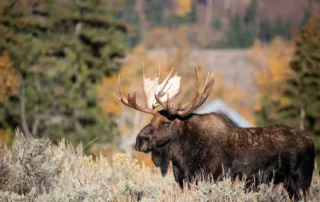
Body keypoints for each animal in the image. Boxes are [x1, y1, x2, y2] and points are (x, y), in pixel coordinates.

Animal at [114, 67, 316, 200]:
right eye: (150, 120)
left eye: (166, 122)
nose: (140, 140)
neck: (182, 158)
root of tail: (311, 141)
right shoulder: (184, 182)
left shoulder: (211, 179)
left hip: (301, 181)